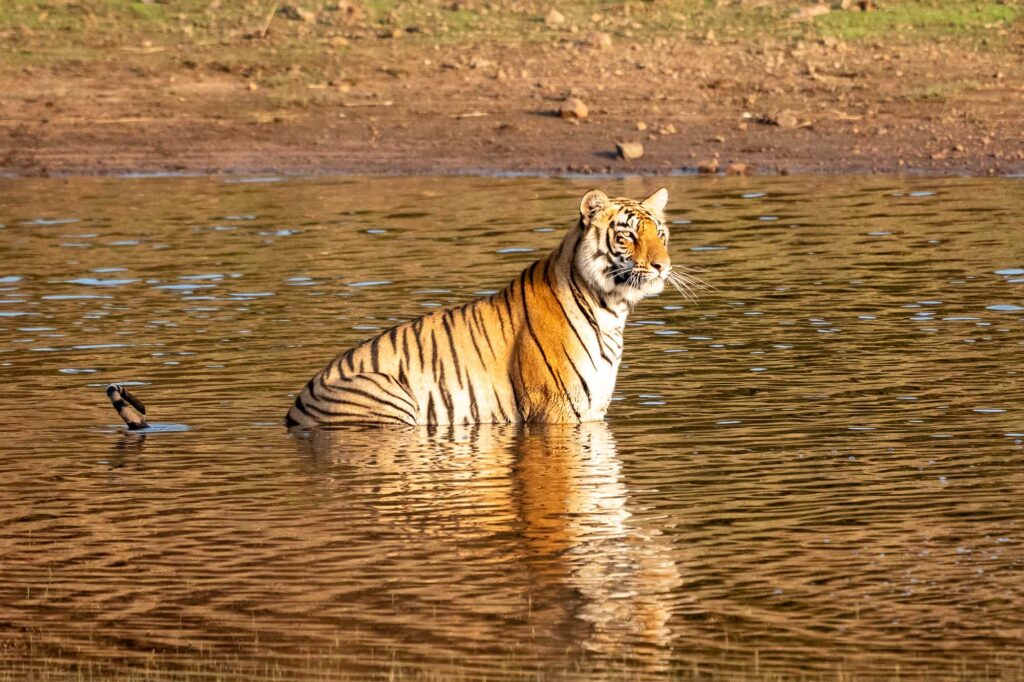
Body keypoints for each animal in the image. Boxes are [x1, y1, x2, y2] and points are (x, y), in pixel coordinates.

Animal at [284, 187, 694, 428]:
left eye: (659, 234)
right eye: (627, 236)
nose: (662, 266)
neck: (611, 308)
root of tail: (295, 404)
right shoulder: (555, 412)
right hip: (388, 396)